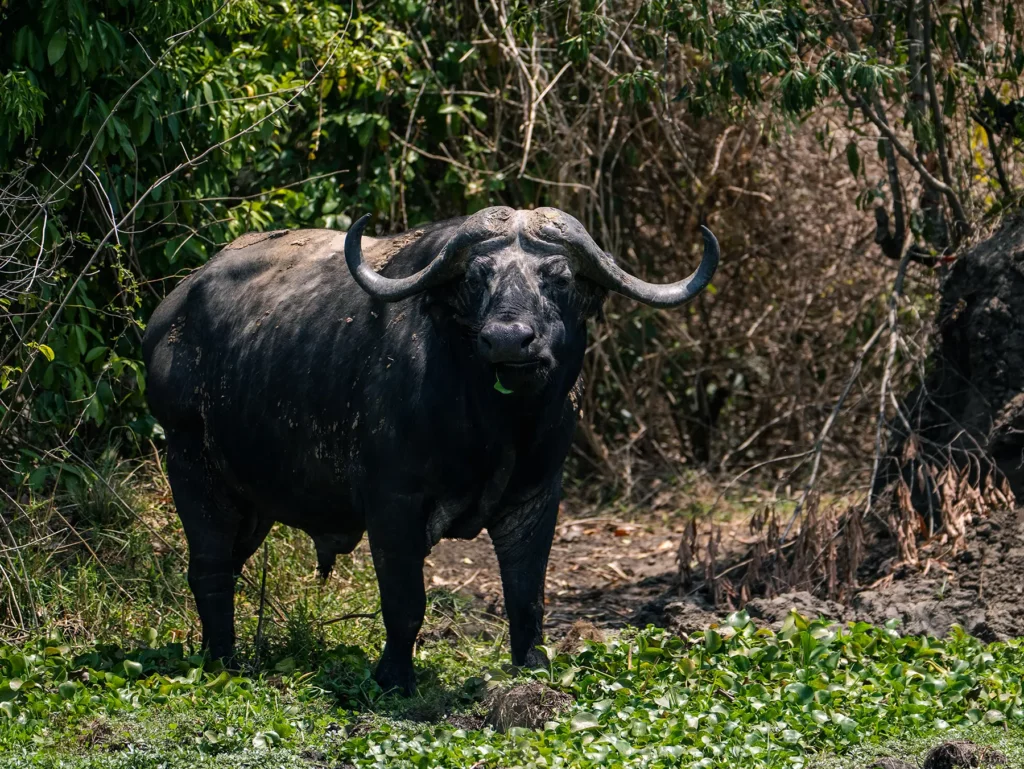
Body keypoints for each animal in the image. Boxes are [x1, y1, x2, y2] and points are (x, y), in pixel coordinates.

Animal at [143, 206, 718, 694]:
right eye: (476, 277)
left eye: (559, 277)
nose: (508, 339)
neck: (494, 425)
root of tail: (169, 315)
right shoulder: (392, 503)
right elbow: (405, 601)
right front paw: (394, 678)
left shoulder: (537, 496)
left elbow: (527, 597)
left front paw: (532, 668)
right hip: (190, 464)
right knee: (209, 569)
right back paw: (222, 660)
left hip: (251, 504)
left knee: (228, 565)